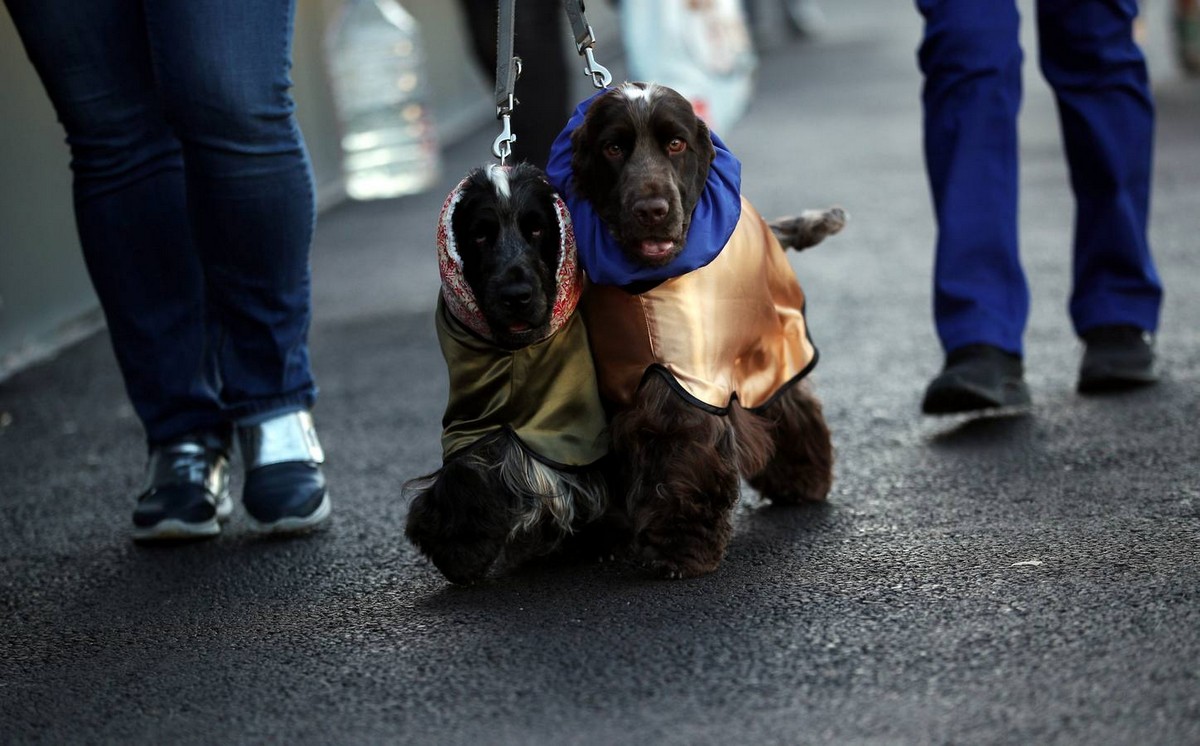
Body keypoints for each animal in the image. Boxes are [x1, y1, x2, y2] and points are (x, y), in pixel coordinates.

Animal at [403, 166, 609, 587]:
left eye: (537, 229)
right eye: (480, 234)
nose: (516, 296)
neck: (516, 355)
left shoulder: (575, 432)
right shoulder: (469, 422)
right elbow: (464, 476)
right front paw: (461, 555)